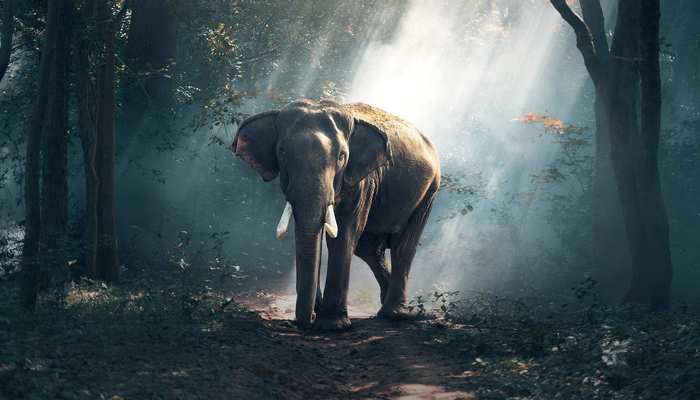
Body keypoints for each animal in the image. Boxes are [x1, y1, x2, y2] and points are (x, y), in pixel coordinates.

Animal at [232, 99, 439, 330]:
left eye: (342, 156)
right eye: (282, 152)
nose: (310, 318)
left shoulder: (363, 181)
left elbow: (345, 233)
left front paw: (333, 325)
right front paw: (319, 315)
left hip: (428, 192)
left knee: (403, 245)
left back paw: (393, 314)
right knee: (370, 249)